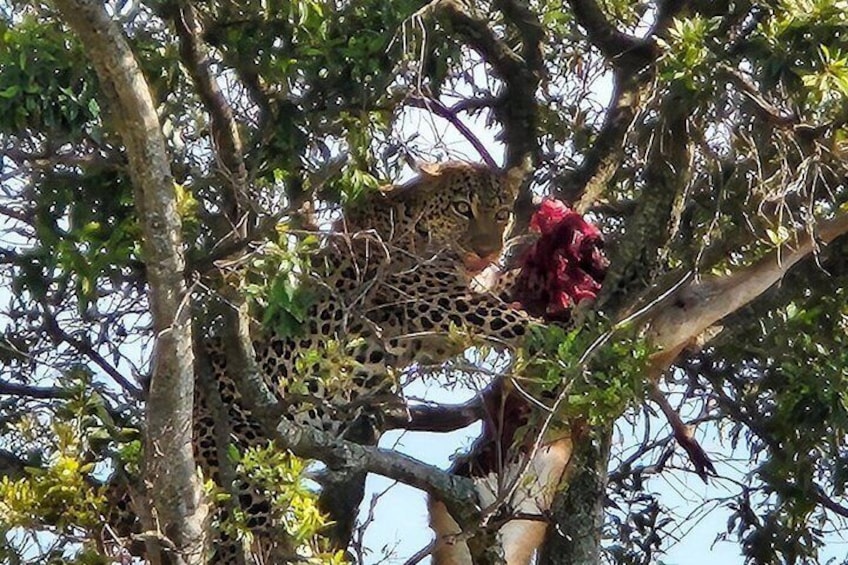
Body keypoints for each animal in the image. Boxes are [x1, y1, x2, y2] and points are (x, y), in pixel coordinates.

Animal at [193, 161, 541, 562]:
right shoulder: (430, 300)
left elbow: (499, 295)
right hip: (242, 464)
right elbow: (499, 315)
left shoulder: (434, 333)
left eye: (501, 214)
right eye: (462, 209)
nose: (487, 252)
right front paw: (554, 327)